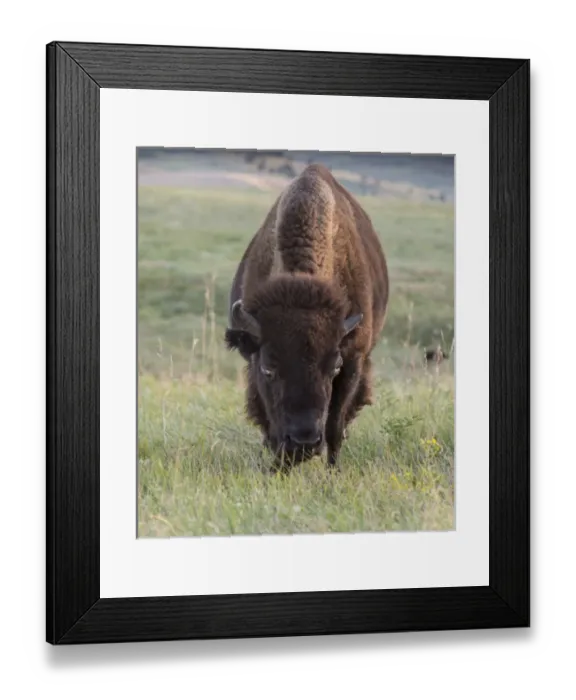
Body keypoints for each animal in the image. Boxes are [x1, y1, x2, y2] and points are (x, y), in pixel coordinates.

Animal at [225, 164, 389, 466]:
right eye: (269, 368)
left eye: (333, 367)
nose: (304, 443)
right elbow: (269, 424)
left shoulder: (353, 359)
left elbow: (335, 425)